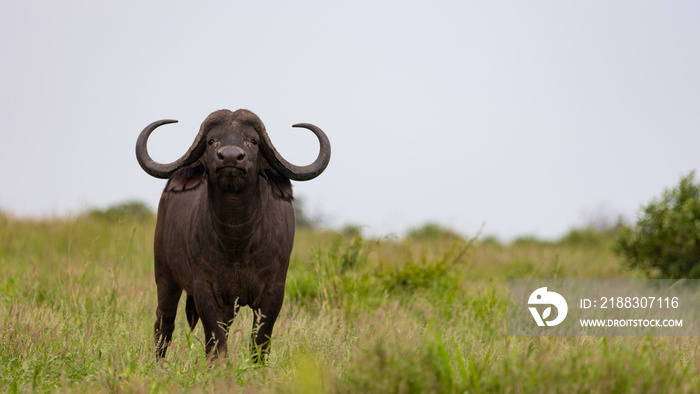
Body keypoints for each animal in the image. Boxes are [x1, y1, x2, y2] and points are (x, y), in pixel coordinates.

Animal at [135, 109, 330, 362]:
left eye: (253, 141)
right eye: (211, 141)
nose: (229, 157)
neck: (237, 241)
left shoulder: (274, 290)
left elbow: (260, 342)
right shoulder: (204, 289)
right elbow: (215, 341)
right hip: (165, 276)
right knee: (164, 324)